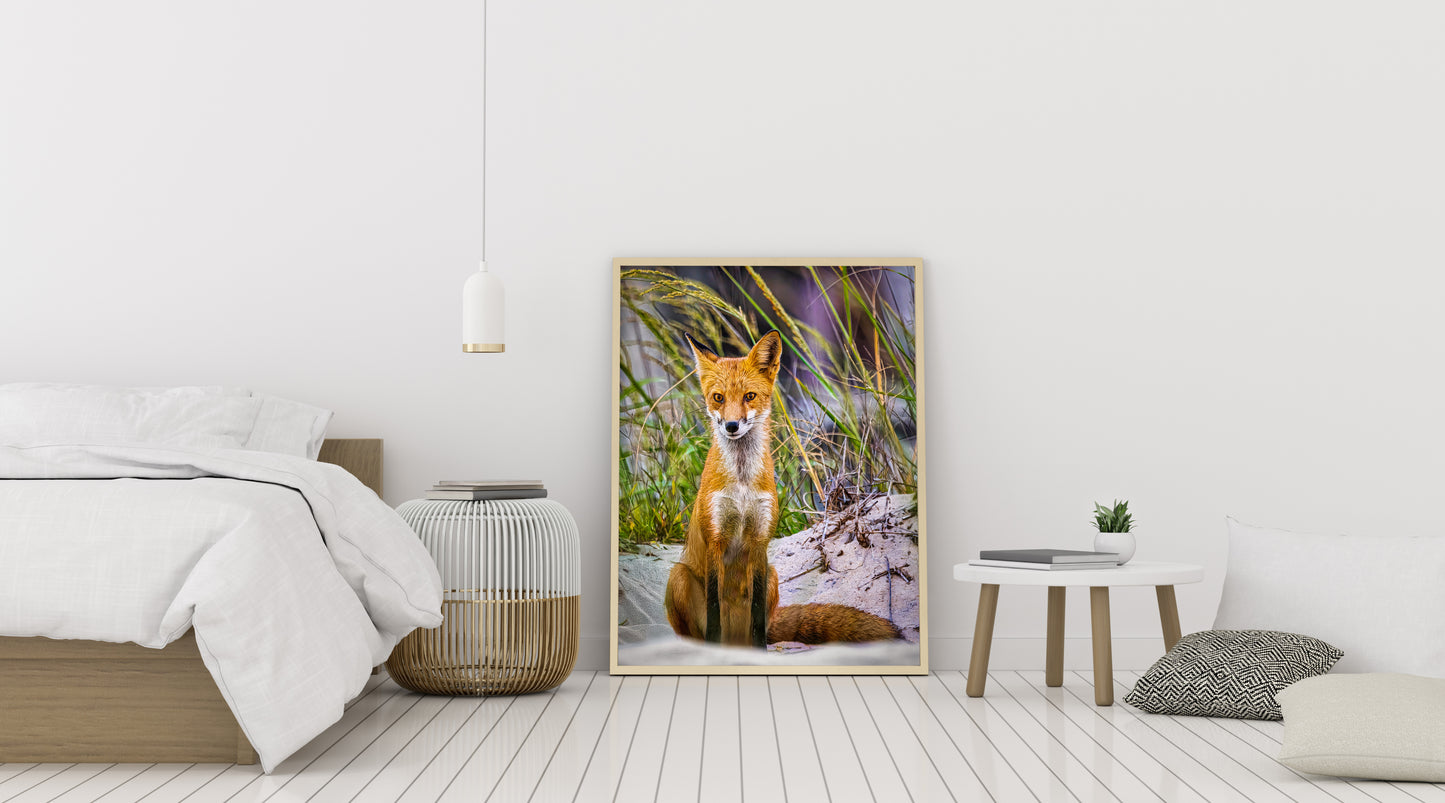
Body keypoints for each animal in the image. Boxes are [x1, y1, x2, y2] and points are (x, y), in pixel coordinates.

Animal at [663, 330, 902, 648]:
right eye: (718, 398)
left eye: (749, 396)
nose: (731, 425)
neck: (742, 483)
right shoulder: (716, 539)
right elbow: (713, 611)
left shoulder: (759, 541)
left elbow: (757, 615)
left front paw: (760, 653)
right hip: (678, 576)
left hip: (773, 575)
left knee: (762, 625)